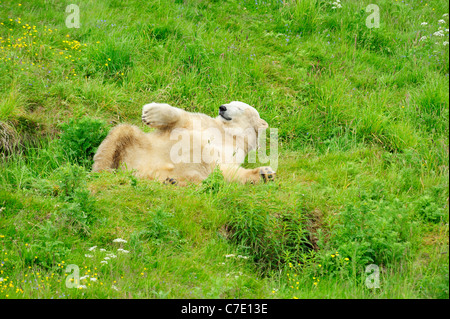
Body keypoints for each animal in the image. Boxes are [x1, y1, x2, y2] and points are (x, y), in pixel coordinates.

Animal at [91, 101, 274, 186]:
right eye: (230, 102)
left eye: (240, 108)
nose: (222, 107)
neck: (228, 133)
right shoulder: (201, 122)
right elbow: (180, 117)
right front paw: (150, 113)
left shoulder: (235, 151)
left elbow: (225, 170)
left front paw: (265, 173)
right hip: (137, 145)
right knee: (121, 134)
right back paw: (103, 172)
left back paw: (171, 181)